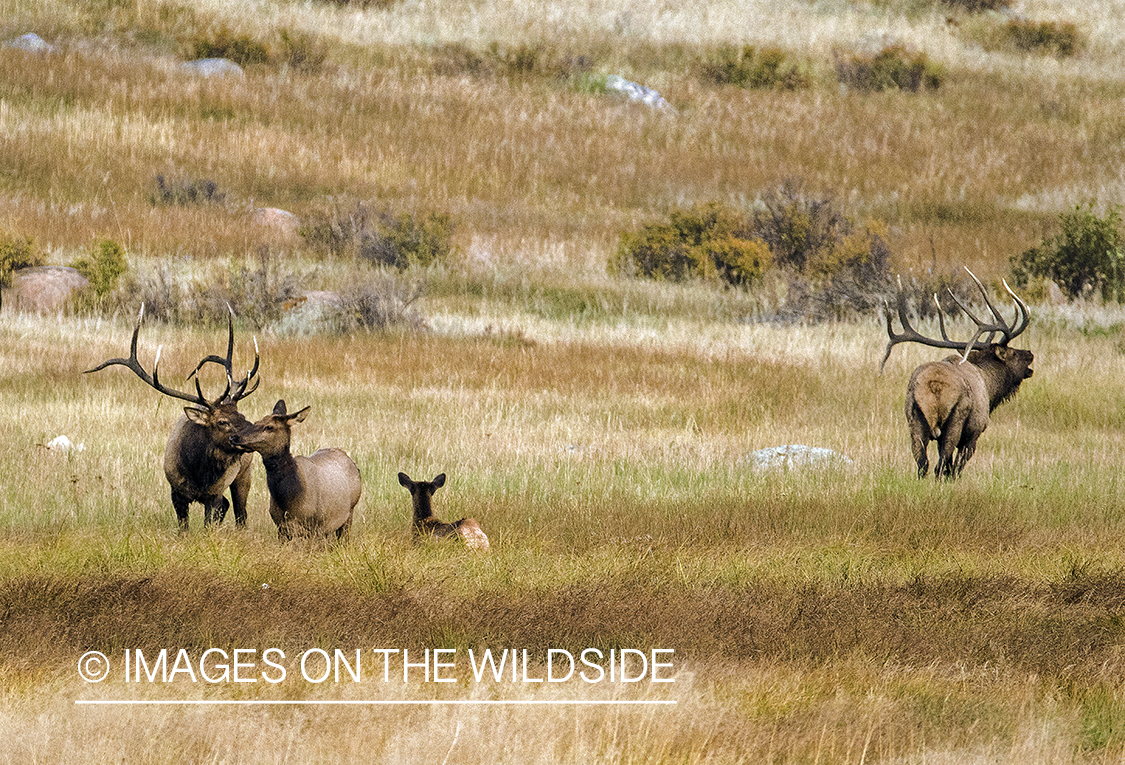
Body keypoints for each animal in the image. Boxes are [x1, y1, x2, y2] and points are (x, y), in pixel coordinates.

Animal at [86, 301, 261, 528]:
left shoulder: (213, 494)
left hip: (243, 472)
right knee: (228, 506)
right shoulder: (176, 491)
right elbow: (183, 528)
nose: (253, 432)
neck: (198, 472)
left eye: (242, 416)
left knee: (240, 513)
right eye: (222, 422)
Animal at [230, 400, 362, 544]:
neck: (289, 497)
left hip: (349, 512)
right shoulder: (281, 527)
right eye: (256, 422)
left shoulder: (318, 526)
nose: (234, 437)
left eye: (269, 427)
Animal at [877, 268, 1035, 481]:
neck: (989, 386)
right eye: (1013, 353)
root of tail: (934, 385)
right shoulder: (974, 431)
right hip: (956, 418)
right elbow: (956, 468)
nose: (1030, 353)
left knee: (922, 463)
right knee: (940, 464)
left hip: (913, 415)